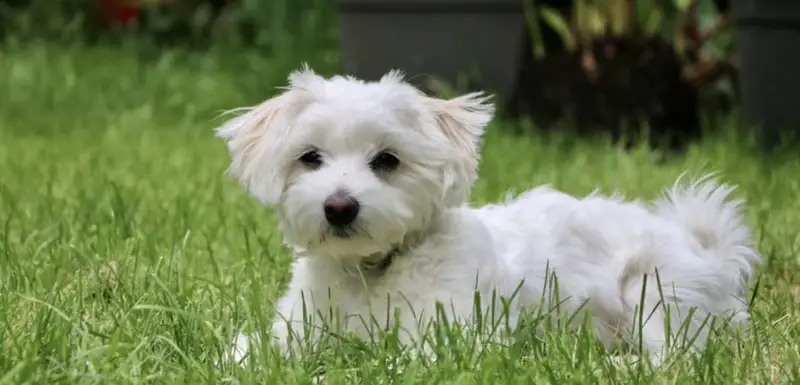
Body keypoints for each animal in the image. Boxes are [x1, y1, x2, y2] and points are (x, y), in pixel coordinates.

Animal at [214, 65, 764, 364]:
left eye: (388, 160)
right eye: (310, 158)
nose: (339, 206)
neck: (371, 273)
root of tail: (704, 249)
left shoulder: (453, 336)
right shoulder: (296, 329)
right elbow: (248, 351)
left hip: (656, 292)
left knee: (674, 356)